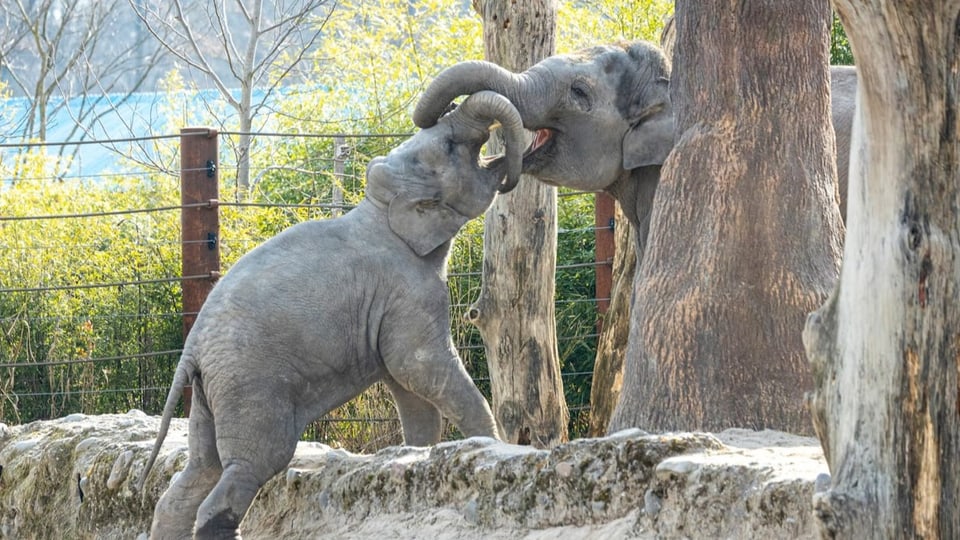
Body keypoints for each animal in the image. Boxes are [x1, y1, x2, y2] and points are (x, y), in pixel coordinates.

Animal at [141, 90, 524, 536]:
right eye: (449, 146)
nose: (512, 165)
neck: (380, 210)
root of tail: (192, 349)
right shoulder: (410, 291)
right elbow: (419, 367)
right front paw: (491, 445)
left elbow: (408, 389)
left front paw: (419, 456)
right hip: (249, 386)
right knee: (251, 465)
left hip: (208, 392)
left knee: (198, 473)